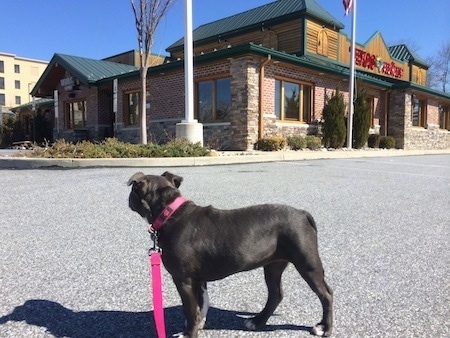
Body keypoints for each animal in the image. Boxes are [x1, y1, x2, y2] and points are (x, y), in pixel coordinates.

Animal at [128, 173, 332, 336]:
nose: (128, 198)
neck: (170, 212)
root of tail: (302, 214)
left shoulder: (183, 279)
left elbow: (190, 309)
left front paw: (188, 333)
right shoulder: (197, 279)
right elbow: (201, 304)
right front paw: (199, 324)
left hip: (307, 263)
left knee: (326, 294)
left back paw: (325, 328)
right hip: (273, 264)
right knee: (276, 294)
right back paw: (257, 321)